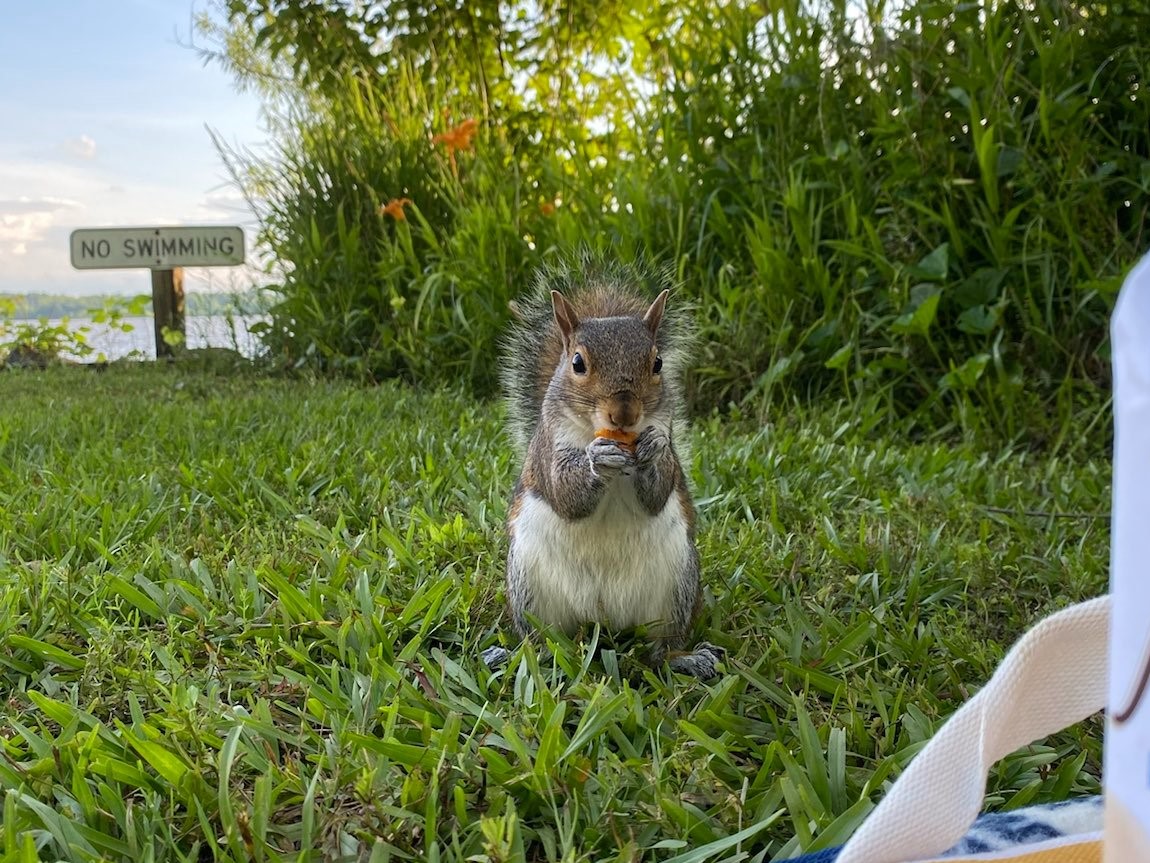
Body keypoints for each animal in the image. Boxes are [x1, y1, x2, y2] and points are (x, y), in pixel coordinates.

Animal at [483, 260, 717, 681]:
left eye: (657, 363)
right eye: (578, 363)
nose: (624, 414)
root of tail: (603, 618)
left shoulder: (668, 438)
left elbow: (660, 491)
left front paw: (650, 451)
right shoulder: (548, 450)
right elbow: (565, 494)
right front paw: (597, 458)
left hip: (677, 587)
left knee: (660, 651)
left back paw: (686, 658)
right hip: (529, 590)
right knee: (542, 643)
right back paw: (515, 656)